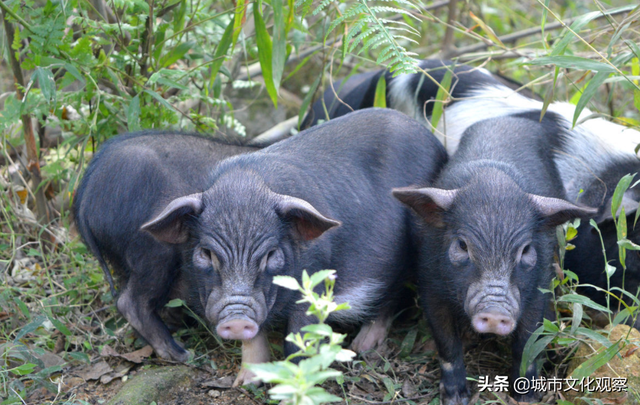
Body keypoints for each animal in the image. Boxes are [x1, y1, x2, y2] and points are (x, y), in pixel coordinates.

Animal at [142, 109, 448, 386]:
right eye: (206, 253)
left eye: (271, 254)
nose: (237, 318)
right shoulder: (259, 302)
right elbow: (255, 339)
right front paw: (244, 383)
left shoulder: (316, 278)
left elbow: (299, 339)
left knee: (391, 297)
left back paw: (362, 347)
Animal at [392, 115, 596, 402]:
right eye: (462, 245)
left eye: (526, 250)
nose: (495, 311)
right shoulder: (430, 284)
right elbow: (446, 343)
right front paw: (455, 398)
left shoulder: (538, 287)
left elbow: (527, 343)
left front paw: (526, 398)